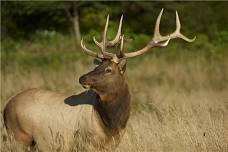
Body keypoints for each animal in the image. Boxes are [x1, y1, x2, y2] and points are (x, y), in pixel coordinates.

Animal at [3, 8, 194, 151]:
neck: (112, 125)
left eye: (108, 69)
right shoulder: (85, 143)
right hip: (18, 137)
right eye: (97, 66)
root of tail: (5, 108)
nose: (82, 77)